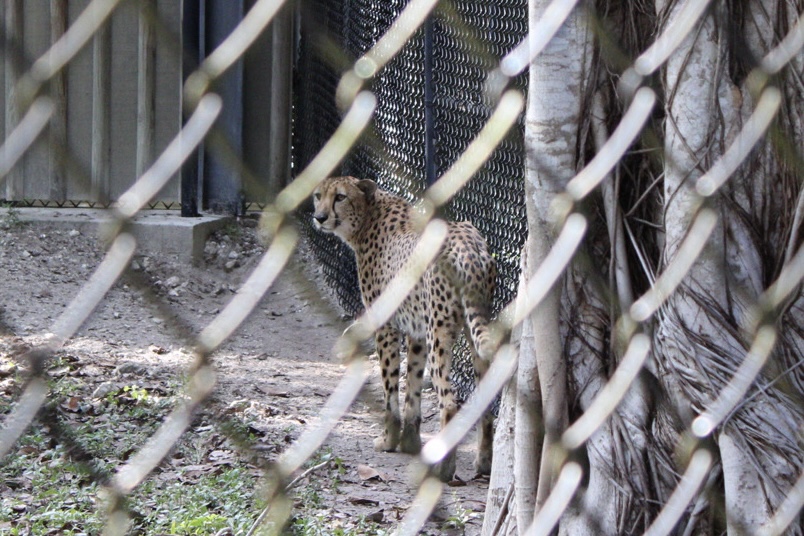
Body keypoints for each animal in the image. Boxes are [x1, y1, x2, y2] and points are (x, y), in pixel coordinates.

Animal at [312, 176, 496, 482]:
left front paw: (389, 439)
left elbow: (390, 386)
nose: (320, 217)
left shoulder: (386, 324)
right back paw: (484, 463)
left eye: (340, 197)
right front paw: (410, 441)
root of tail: (469, 244)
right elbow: (412, 385)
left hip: (440, 333)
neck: (367, 216)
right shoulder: (417, 332)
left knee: (449, 402)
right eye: (318, 195)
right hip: (471, 331)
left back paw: (445, 469)